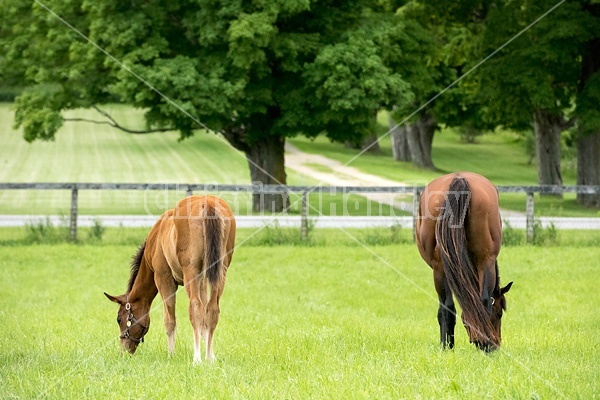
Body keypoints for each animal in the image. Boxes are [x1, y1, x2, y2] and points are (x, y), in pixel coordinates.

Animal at [104, 195, 236, 364]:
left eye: (119, 319)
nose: (124, 351)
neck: (155, 240)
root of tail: (208, 204)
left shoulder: (163, 278)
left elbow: (169, 320)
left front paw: (171, 354)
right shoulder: (202, 280)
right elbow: (204, 321)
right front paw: (211, 355)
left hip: (190, 272)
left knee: (195, 307)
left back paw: (197, 358)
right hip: (220, 271)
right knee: (212, 308)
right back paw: (207, 357)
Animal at [418, 170, 510, 352]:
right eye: (499, 313)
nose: (497, 344)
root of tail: (460, 179)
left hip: (441, 269)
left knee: (448, 307)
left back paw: (449, 347)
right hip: (484, 261)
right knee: (480, 301)